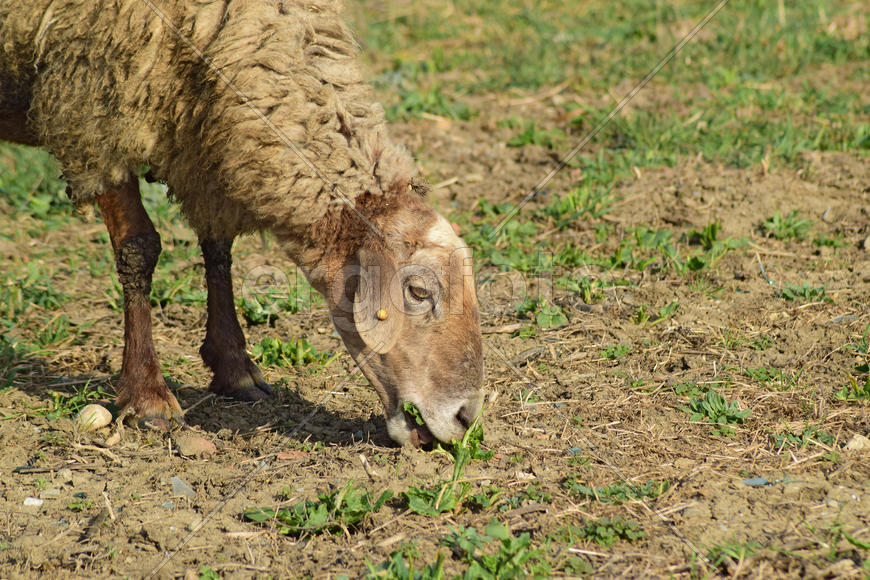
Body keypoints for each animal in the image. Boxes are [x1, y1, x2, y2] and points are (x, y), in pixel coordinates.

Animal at [0, 0, 484, 446]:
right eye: (418, 291)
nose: (466, 417)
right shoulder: (94, 114)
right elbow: (138, 249)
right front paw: (147, 395)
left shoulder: (202, 138)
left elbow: (218, 247)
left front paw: (234, 369)